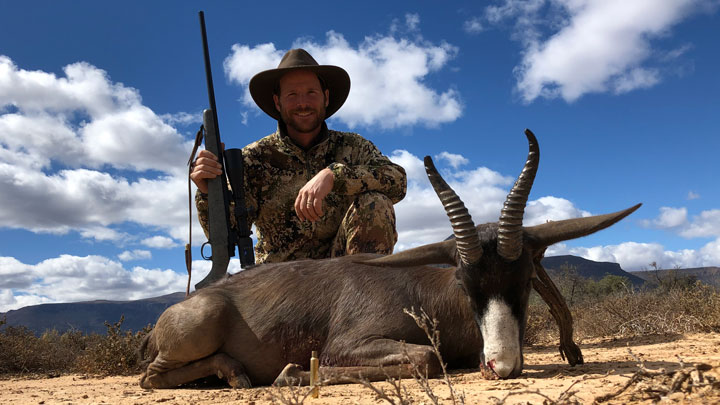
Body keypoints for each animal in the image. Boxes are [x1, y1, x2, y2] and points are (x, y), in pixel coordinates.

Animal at [139, 130, 640, 388]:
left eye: (522, 281)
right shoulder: (346, 344)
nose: (501, 365)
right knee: (149, 378)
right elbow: (427, 358)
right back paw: (236, 375)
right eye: (464, 282)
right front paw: (289, 372)